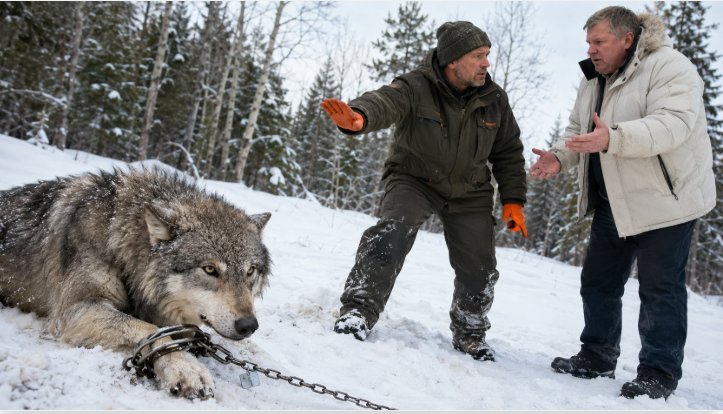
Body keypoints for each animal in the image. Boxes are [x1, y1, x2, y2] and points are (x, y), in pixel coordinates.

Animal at [0, 168, 272, 400]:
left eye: (250, 271)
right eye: (210, 269)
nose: (249, 325)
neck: (118, 236)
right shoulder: (72, 311)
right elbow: (148, 328)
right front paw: (184, 366)